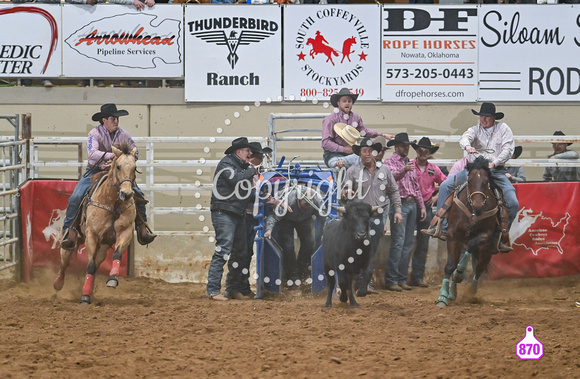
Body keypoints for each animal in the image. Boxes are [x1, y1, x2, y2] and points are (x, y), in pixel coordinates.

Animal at [53, 143, 137, 306]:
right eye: (118, 166)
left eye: (134, 167)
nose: (126, 194)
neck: (113, 203)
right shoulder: (92, 235)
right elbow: (89, 265)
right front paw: (84, 297)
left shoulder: (125, 231)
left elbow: (117, 254)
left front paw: (112, 279)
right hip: (70, 240)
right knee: (64, 262)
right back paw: (58, 283)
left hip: (102, 248)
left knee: (96, 264)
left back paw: (90, 290)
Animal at [436, 156, 502, 308]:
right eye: (470, 181)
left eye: (486, 182)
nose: (478, 206)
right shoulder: (453, 236)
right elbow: (450, 266)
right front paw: (443, 296)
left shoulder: (485, 235)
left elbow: (470, 247)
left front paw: (460, 273)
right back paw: (452, 293)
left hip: (487, 250)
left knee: (479, 269)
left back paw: (470, 292)